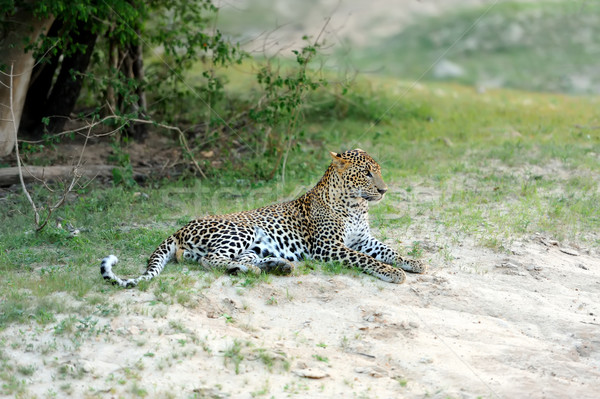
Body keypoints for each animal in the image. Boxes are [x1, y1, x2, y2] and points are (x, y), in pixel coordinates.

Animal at [102, 149, 426, 288]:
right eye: (367, 173)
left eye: (378, 171)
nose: (384, 190)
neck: (357, 205)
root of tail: (181, 228)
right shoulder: (329, 247)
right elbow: (367, 260)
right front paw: (392, 273)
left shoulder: (363, 239)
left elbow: (388, 250)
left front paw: (413, 262)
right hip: (240, 229)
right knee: (211, 260)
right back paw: (261, 270)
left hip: (250, 243)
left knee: (223, 259)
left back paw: (275, 266)